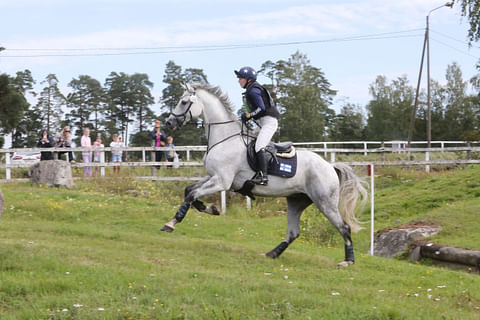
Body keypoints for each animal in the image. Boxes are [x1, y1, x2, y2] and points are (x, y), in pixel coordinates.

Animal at [162, 83, 368, 268]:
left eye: (183, 102)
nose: (168, 123)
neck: (225, 138)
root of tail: (330, 166)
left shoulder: (222, 181)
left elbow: (192, 194)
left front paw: (171, 223)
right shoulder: (215, 177)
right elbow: (189, 190)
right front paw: (211, 209)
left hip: (325, 202)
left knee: (344, 227)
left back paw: (348, 261)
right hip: (296, 201)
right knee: (293, 232)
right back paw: (271, 254)